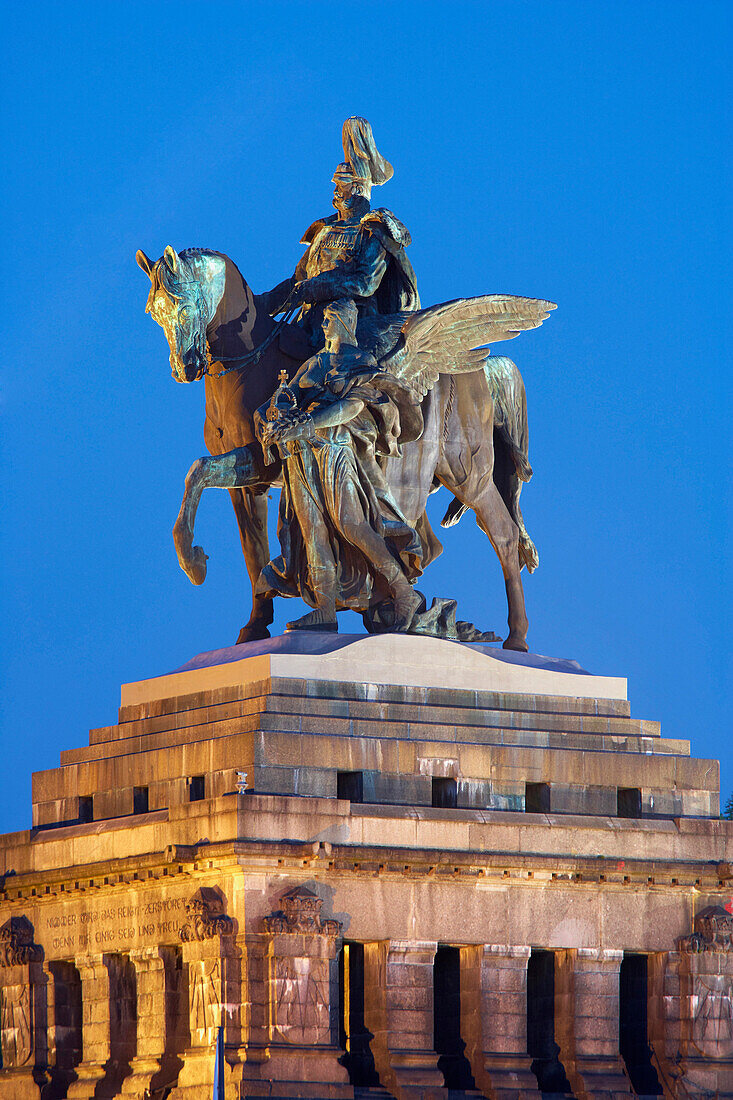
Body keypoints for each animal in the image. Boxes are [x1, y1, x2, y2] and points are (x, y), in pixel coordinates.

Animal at [135, 245, 537, 646]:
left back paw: (514, 637)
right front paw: (250, 620)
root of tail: (483, 365)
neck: (249, 365)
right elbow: (243, 536)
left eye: (183, 304)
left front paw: (193, 563)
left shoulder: (266, 460)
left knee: (503, 535)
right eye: (154, 312)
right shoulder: (249, 482)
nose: (185, 367)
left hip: (467, 471)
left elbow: (201, 472)